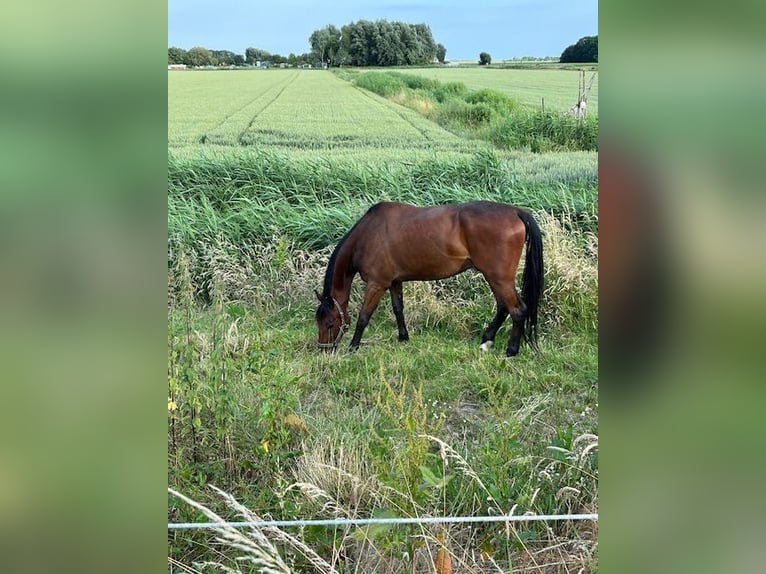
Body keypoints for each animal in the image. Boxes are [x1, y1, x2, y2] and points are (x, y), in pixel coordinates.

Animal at [314, 201, 544, 356]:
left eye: (330, 323)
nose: (324, 350)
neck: (368, 234)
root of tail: (516, 212)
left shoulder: (377, 284)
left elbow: (363, 316)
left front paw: (353, 347)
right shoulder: (394, 282)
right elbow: (398, 309)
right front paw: (403, 337)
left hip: (499, 278)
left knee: (517, 310)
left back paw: (511, 350)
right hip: (495, 277)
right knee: (503, 307)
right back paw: (487, 341)